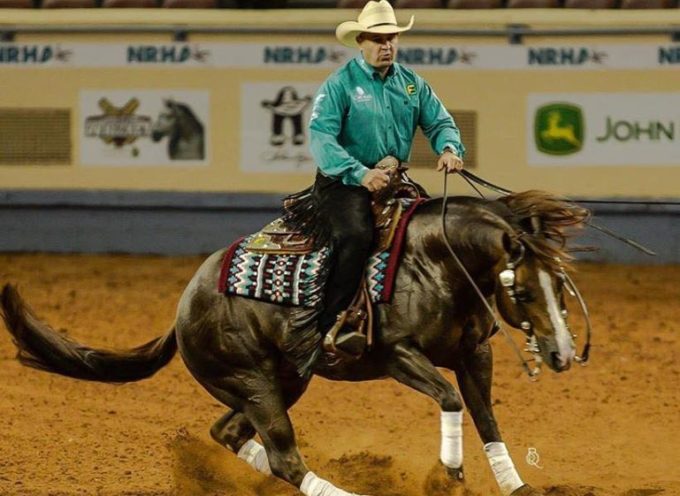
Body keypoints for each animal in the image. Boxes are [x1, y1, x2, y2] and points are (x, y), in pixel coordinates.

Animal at [0, 191, 588, 496]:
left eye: (560, 284)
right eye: (523, 288)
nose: (562, 354)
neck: (436, 261)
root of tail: (186, 301)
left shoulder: (473, 354)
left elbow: (486, 418)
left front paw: (516, 486)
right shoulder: (396, 354)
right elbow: (448, 399)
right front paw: (449, 475)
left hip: (277, 381)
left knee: (228, 432)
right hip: (254, 382)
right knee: (284, 457)